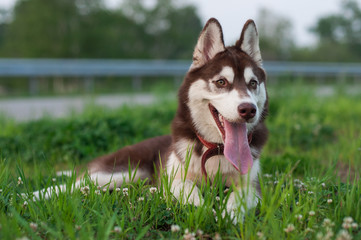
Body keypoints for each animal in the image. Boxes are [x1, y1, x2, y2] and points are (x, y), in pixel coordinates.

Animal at [31, 18, 268, 223]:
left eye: (253, 83)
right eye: (221, 82)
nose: (248, 109)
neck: (214, 149)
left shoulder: (251, 186)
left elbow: (237, 198)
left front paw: (229, 214)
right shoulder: (173, 180)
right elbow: (189, 191)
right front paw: (203, 211)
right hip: (122, 172)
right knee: (71, 184)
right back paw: (31, 196)